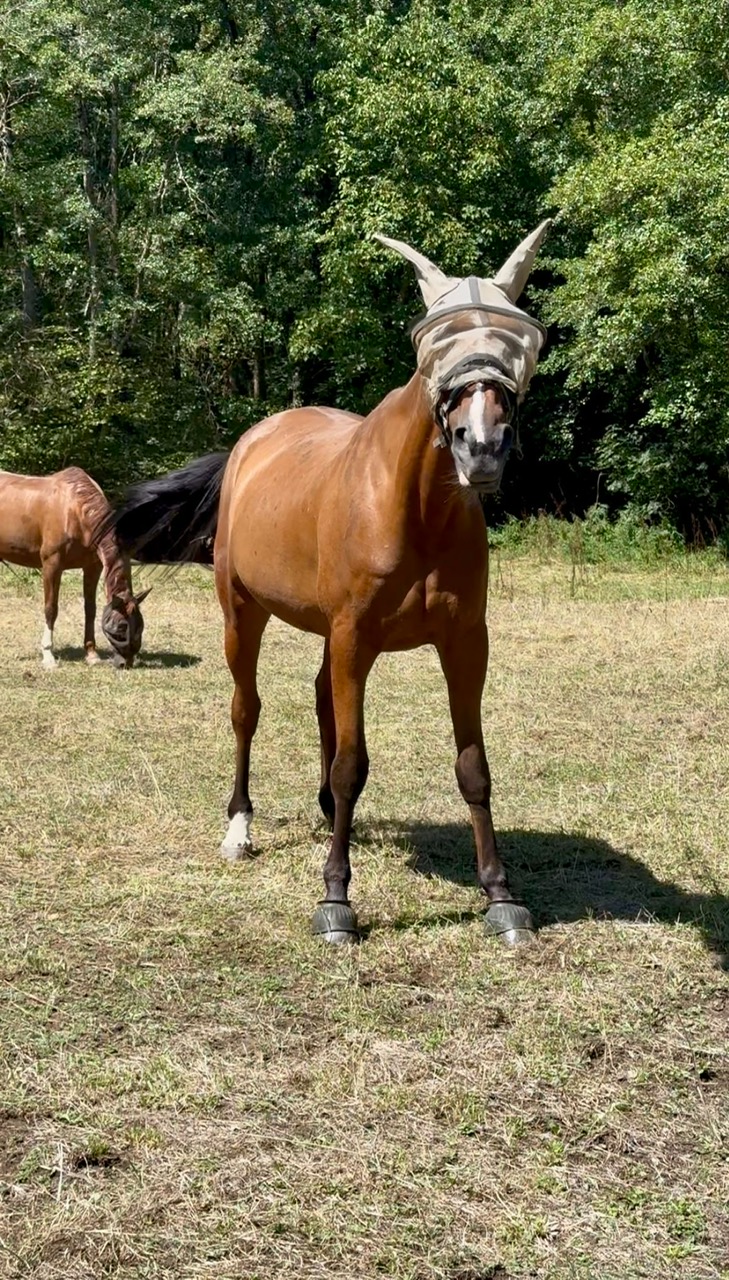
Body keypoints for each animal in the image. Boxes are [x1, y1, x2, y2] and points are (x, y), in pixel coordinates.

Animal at [0, 467, 150, 668]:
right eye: (121, 626)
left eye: (140, 625)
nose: (125, 663)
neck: (74, 511)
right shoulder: (52, 565)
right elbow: (51, 609)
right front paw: (48, 656)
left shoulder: (92, 567)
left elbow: (90, 609)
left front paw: (92, 654)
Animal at [108, 221, 551, 946]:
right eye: (436, 346)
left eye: (518, 344)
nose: (481, 446)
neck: (412, 508)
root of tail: (250, 443)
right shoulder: (353, 638)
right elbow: (351, 767)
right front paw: (336, 901)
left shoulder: (463, 643)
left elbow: (472, 766)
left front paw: (500, 895)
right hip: (242, 615)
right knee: (246, 711)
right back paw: (239, 828)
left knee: (319, 701)